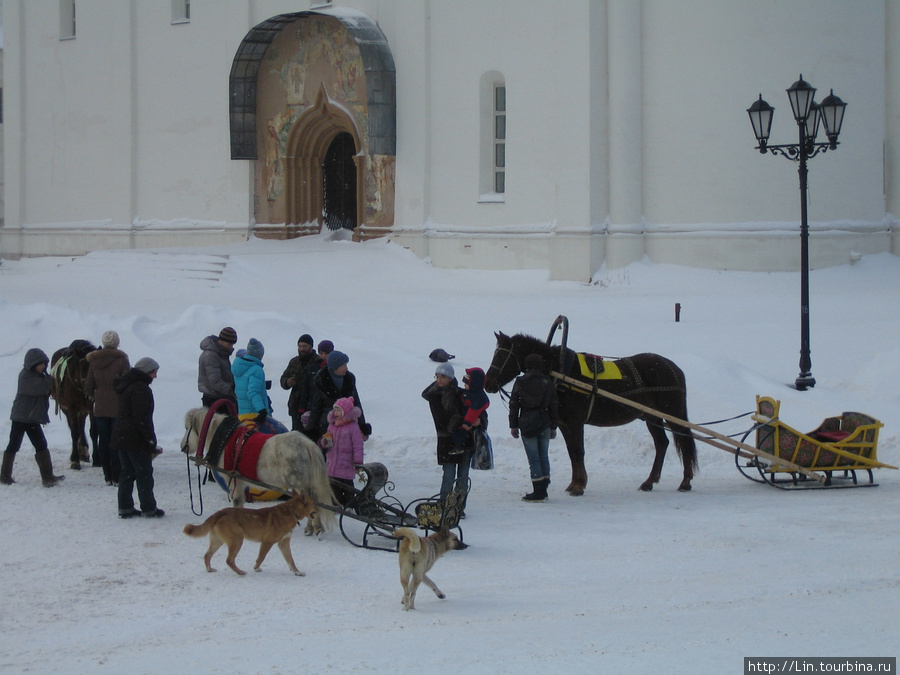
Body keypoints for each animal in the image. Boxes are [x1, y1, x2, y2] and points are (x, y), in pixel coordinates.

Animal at [50, 338, 98, 470]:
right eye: (83, 367)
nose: (93, 389)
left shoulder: (91, 407)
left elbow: (93, 431)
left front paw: (97, 459)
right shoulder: (72, 408)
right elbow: (74, 432)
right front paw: (75, 460)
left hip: (82, 410)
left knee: (81, 425)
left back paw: (84, 452)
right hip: (67, 409)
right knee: (75, 427)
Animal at [181, 492, 318, 576]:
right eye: (313, 503)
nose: (319, 509)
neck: (290, 511)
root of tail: (220, 512)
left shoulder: (283, 543)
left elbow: (291, 560)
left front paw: (297, 572)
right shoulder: (267, 542)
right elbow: (261, 557)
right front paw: (256, 568)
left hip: (218, 542)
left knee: (207, 555)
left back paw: (210, 569)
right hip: (237, 541)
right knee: (229, 560)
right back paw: (240, 572)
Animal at [486, 332, 696, 496]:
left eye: (502, 357)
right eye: (495, 354)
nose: (488, 383)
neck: (560, 371)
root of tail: (673, 367)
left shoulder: (575, 422)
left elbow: (579, 451)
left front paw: (579, 485)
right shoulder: (564, 424)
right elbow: (572, 452)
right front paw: (573, 483)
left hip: (672, 412)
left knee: (684, 441)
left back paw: (685, 482)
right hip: (652, 416)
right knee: (662, 443)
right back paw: (649, 481)